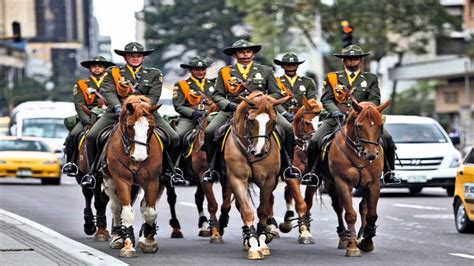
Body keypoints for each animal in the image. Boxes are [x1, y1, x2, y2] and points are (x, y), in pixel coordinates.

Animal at [102, 95, 165, 258]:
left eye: (151, 127)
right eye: (130, 126)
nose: (140, 157)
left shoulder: (152, 182)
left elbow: (150, 212)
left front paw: (149, 242)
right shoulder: (121, 181)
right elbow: (127, 213)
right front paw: (128, 246)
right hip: (109, 183)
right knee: (116, 207)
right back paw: (118, 238)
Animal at [225, 92, 288, 260]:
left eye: (273, 121)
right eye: (251, 120)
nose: (259, 151)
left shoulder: (268, 181)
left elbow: (263, 210)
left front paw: (262, 241)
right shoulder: (237, 180)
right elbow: (247, 211)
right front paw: (253, 244)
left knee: (269, 202)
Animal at [280, 96, 324, 244]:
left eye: (320, 121)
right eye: (307, 122)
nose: (313, 142)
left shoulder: (313, 180)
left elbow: (307, 203)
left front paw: (305, 228)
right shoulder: (292, 178)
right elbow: (301, 204)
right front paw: (305, 232)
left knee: (287, 193)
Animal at [320, 96, 390, 256]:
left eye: (380, 126)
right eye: (359, 126)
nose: (371, 154)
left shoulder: (374, 184)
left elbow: (371, 214)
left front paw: (367, 240)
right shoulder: (343, 182)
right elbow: (350, 215)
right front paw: (352, 246)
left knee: (363, 207)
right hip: (330, 183)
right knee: (339, 208)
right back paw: (344, 237)